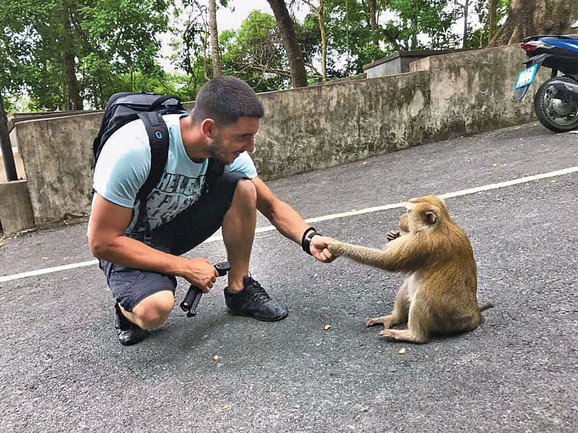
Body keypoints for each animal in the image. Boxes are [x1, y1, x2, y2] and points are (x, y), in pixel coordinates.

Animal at [328, 194, 490, 342]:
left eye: (408, 211)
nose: (401, 217)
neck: (438, 225)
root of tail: (474, 315)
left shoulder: (420, 243)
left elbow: (387, 261)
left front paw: (336, 246)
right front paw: (393, 235)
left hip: (446, 317)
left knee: (422, 297)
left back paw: (413, 336)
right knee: (407, 287)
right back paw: (394, 318)